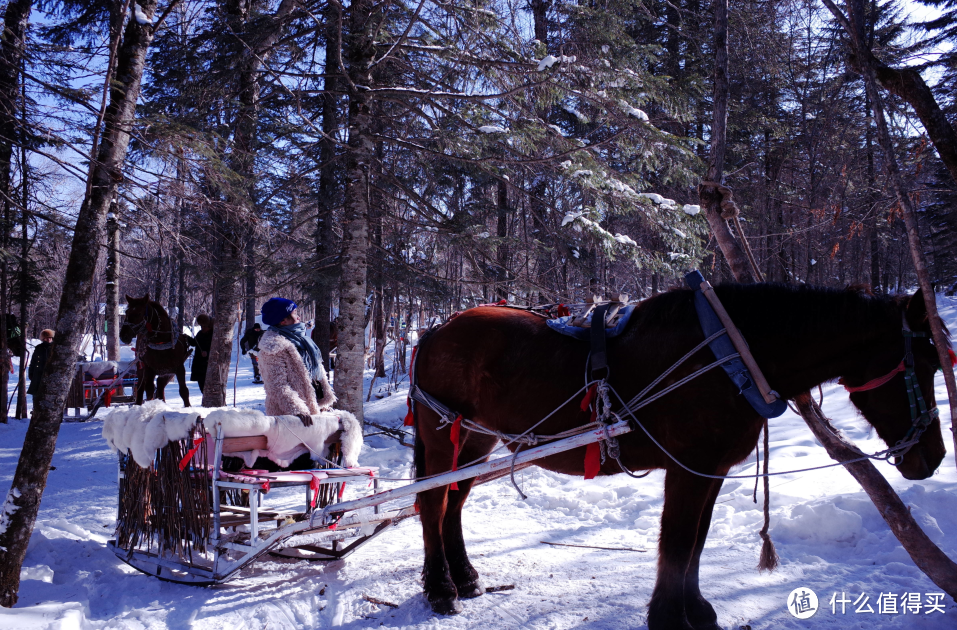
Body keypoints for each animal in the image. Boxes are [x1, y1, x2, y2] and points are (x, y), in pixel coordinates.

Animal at [414, 286, 944, 630]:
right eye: (926, 363)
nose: (935, 457)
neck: (733, 355)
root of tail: (436, 329)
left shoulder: (710, 469)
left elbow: (697, 542)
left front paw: (697, 610)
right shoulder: (688, 467)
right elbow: (677, 540)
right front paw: (669, 616)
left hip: (475, 441)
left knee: (454, 504)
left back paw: (464, 577)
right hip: (444, 440)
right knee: (433, 505)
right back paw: (441, 589)